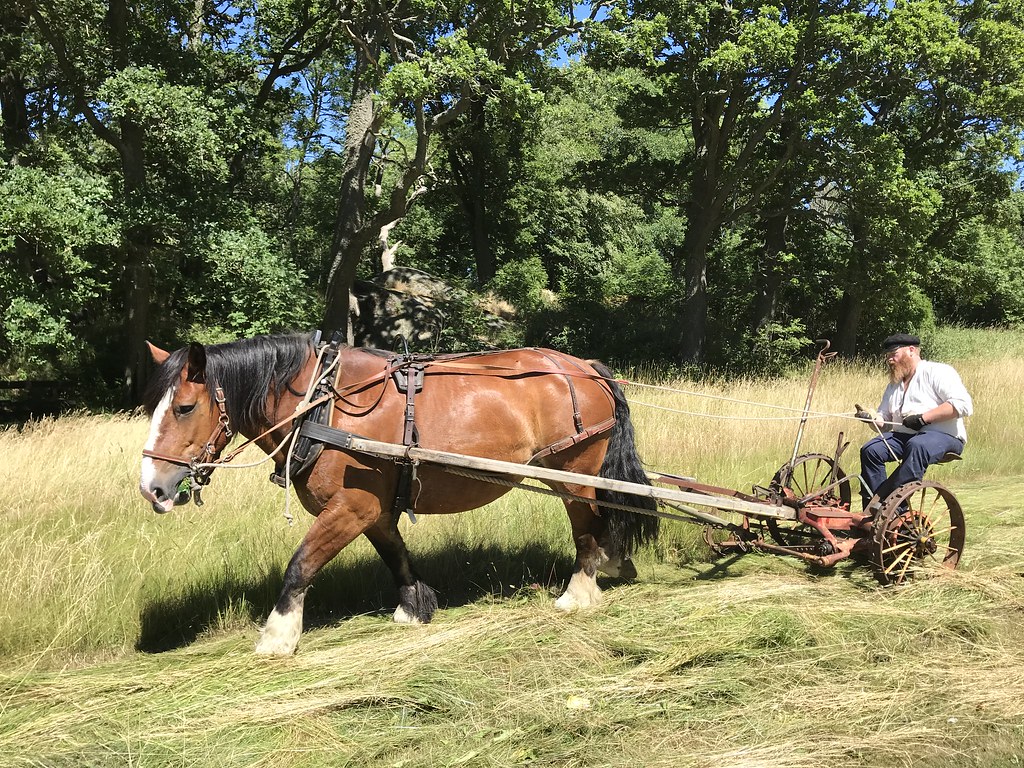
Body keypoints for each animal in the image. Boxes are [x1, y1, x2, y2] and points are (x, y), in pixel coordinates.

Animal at [138, 335, 655, 655]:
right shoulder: (376, 510)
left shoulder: (351, 507)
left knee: (587, 527)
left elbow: (300, 565)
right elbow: (396, 557)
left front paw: (278, 635)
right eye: (152, 407)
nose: (152, 488)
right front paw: (413, 606)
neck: (321, 405)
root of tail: (583, 367)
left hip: (573, 473)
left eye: (184, 408)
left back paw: (579, 591)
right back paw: (613, 563)